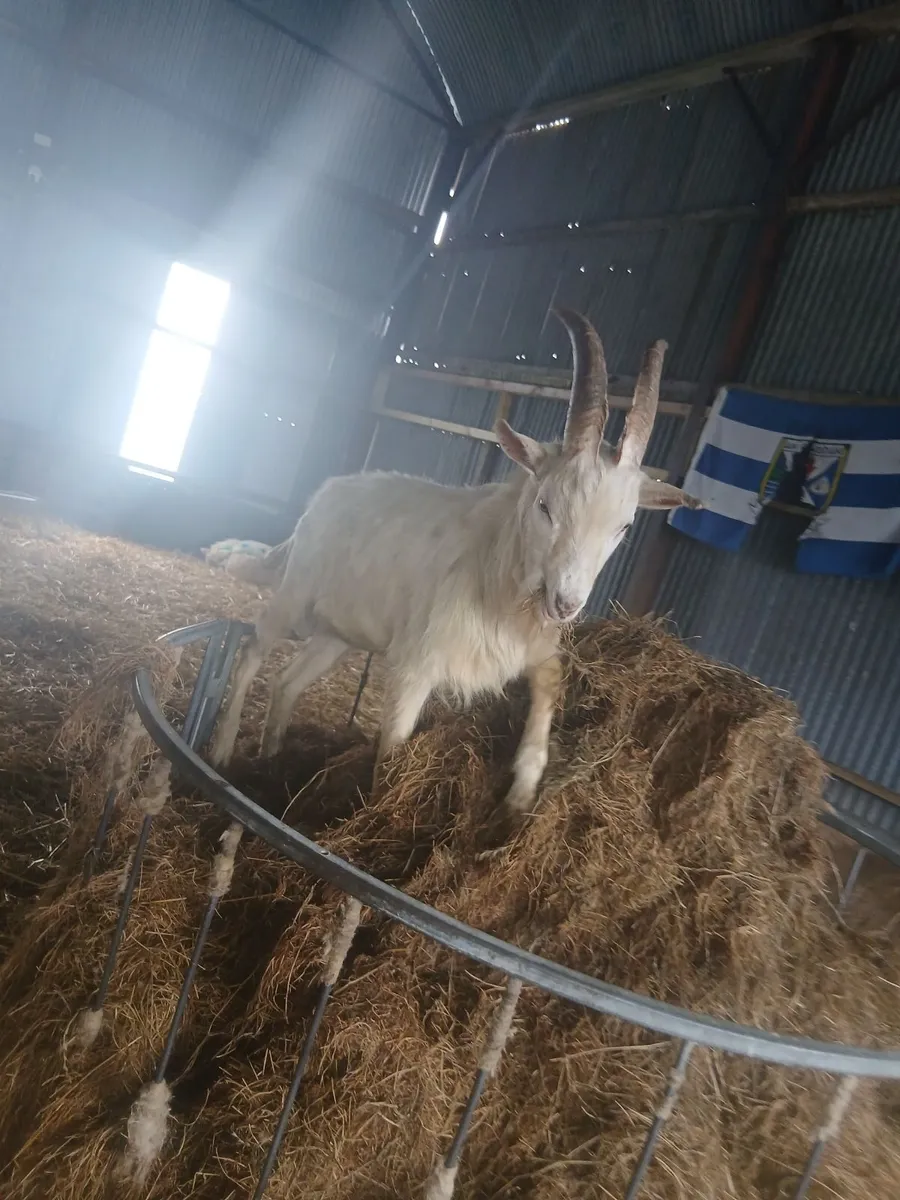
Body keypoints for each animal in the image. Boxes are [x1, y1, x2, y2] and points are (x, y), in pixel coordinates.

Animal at [209, 308, 699, 814]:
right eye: (545, 505)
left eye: (623, 527)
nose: (567, 602)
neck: (496, 566)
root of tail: (323, 496)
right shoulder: (417, 662)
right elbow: (394, 745)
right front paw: (384, 808)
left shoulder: (526, 646)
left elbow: (551, 677)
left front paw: (523, 790)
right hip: (296, 598)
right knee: (254, 646)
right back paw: (224, 750)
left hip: (337, 633)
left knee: (287, 681)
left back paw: (271, 757)